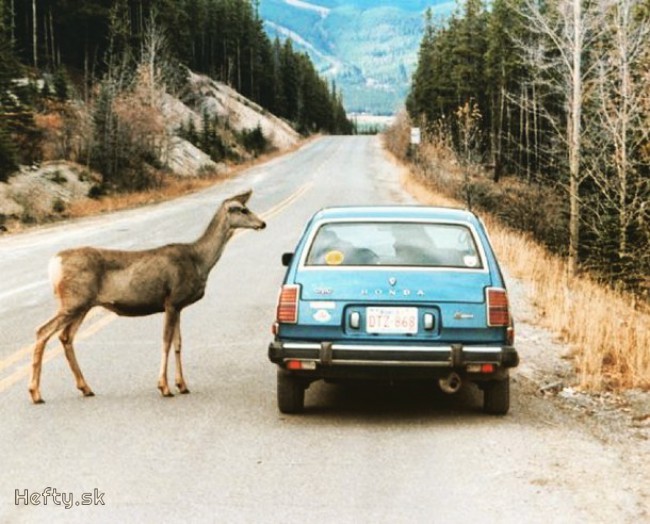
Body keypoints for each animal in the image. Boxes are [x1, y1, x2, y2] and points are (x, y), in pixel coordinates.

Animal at [28, 189, 266, 404]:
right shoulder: (171, 300)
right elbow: (166, 342)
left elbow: (178, 344)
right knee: (42, 331)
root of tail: (54, 263)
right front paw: (164, 387)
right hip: (73, 301)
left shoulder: (178, 306)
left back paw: (85, 388)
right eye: (242, 209)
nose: (262, 223)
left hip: (83, 304)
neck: (199, 261)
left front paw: (182, 385)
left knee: (65, 336)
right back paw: (36, 393)